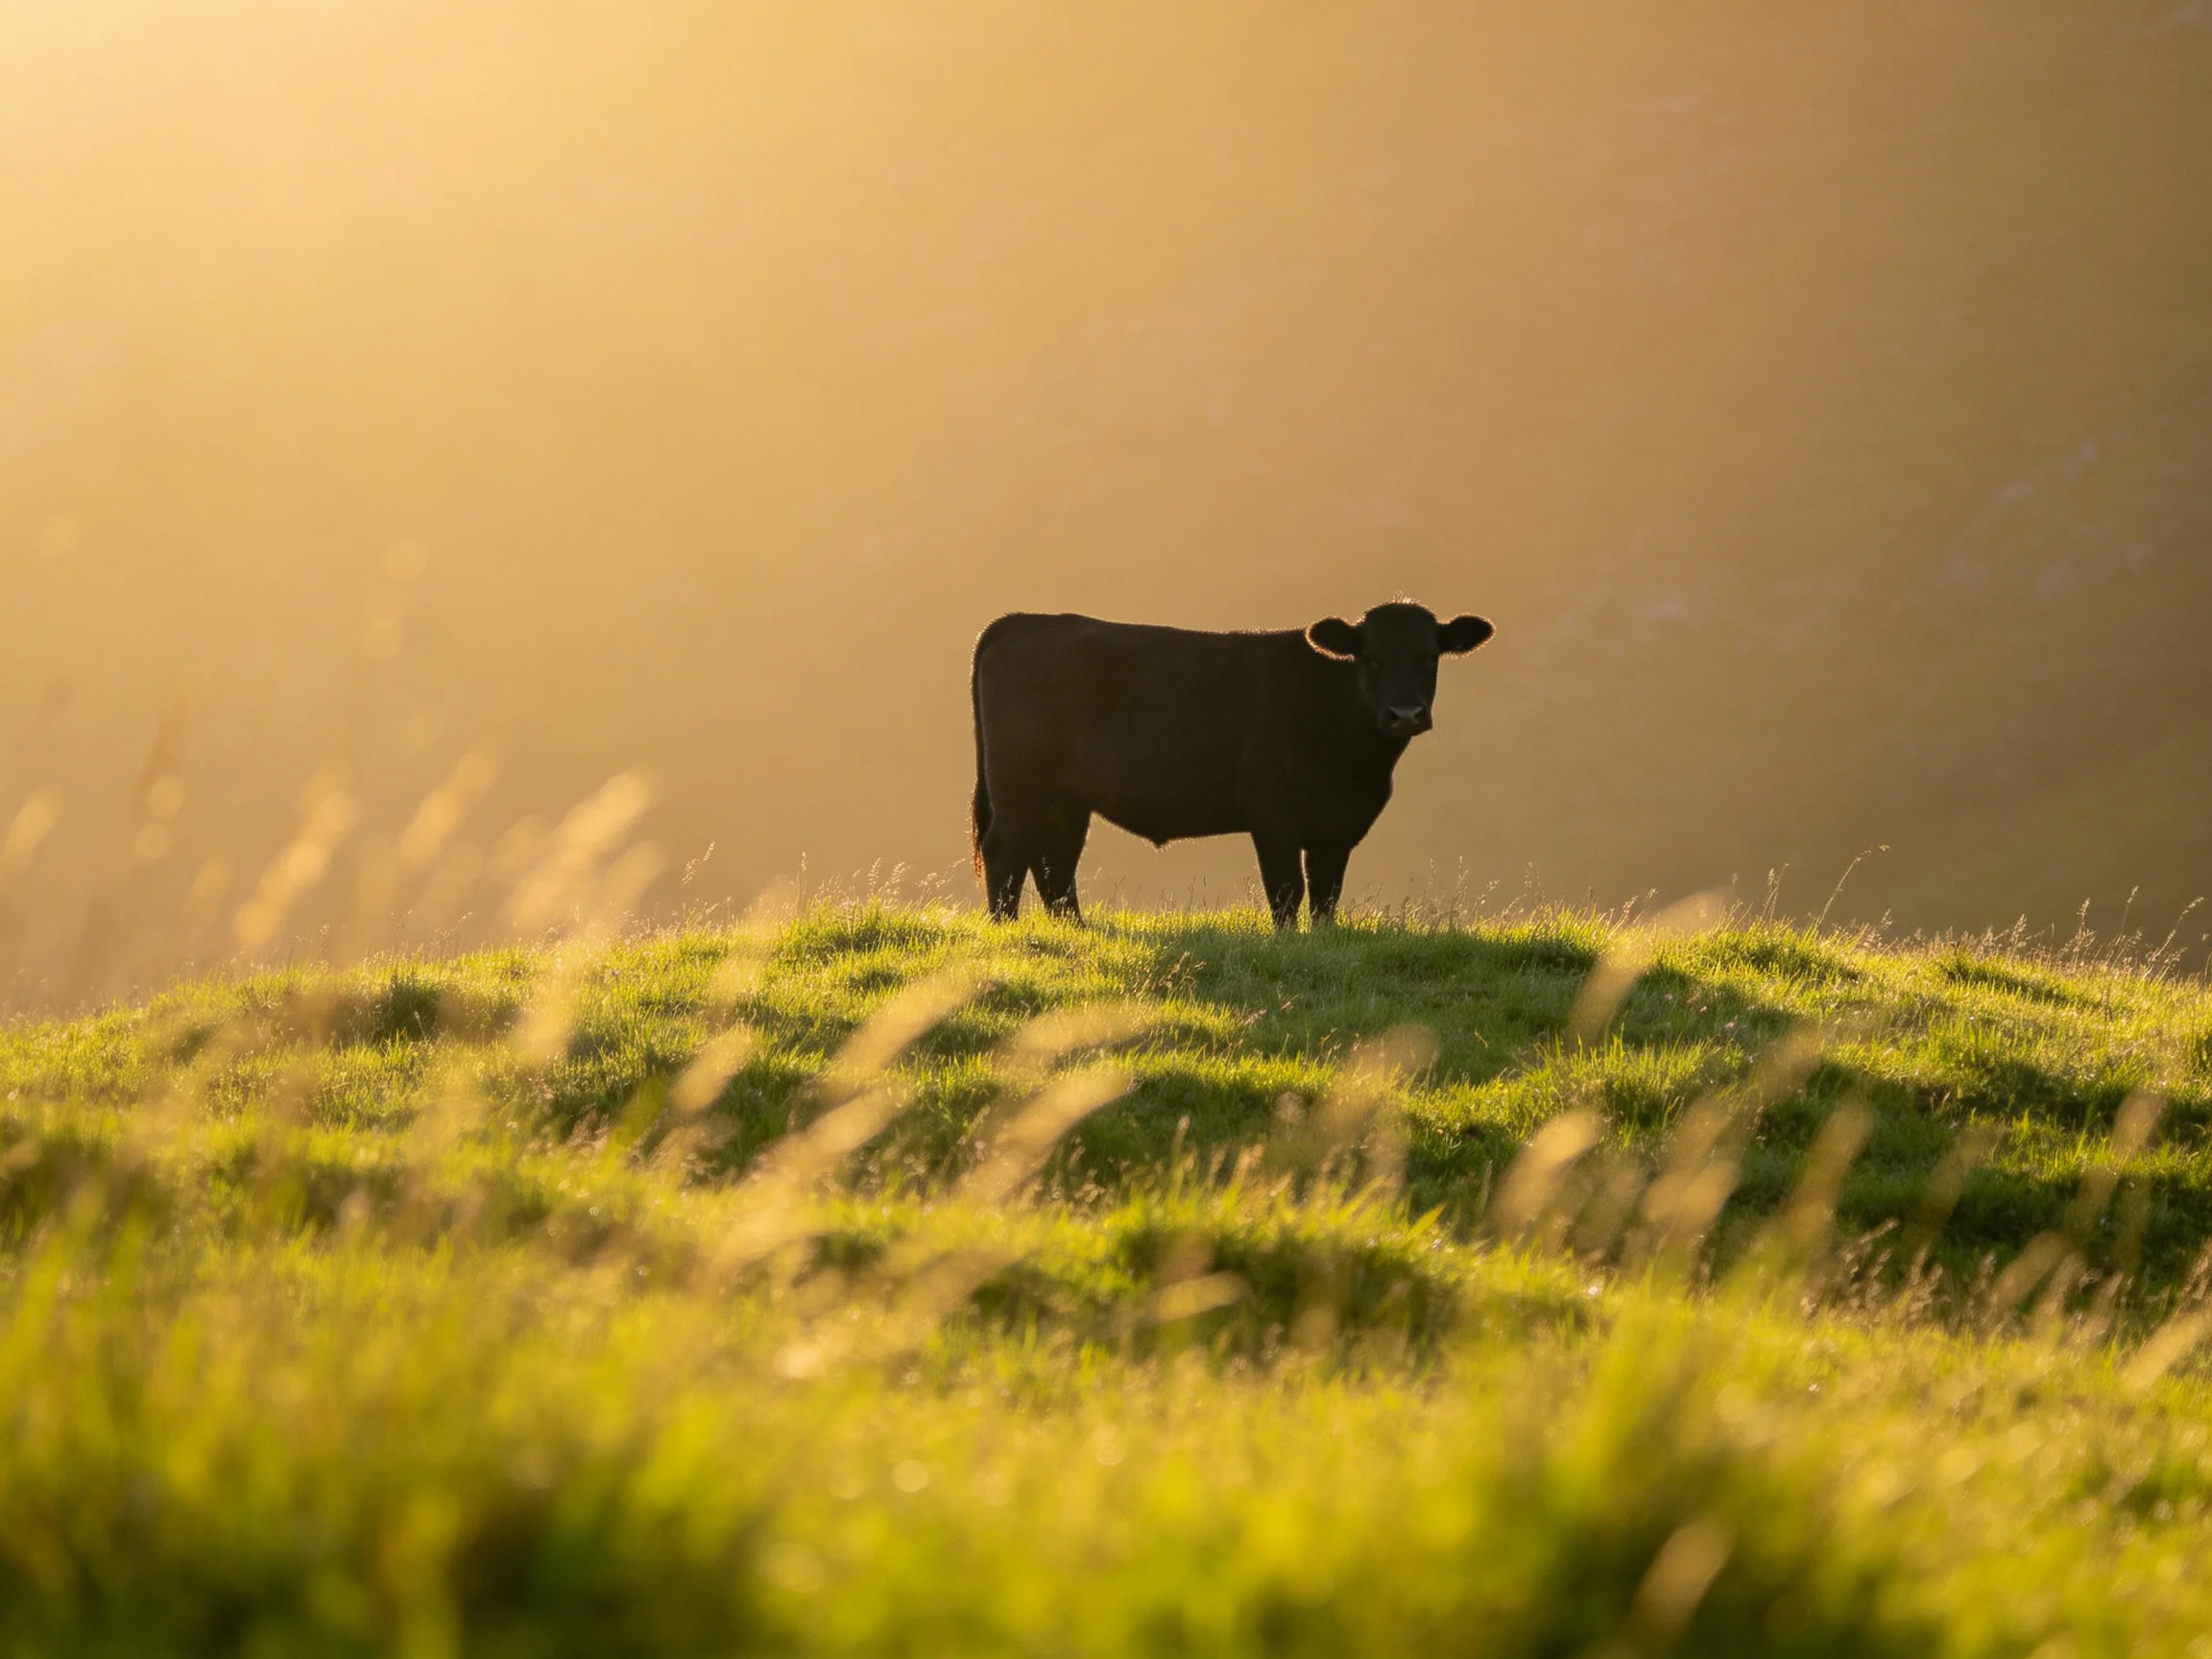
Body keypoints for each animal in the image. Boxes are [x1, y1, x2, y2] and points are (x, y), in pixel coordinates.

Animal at [969, 600, 1494, 928]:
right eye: (1369, 659)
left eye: (1429, 656)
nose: (1404, 714)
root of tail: (1026, 621)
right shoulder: (1274, 815)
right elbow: (1286, 891)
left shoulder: (1338, 826)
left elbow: (1326, 895)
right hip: (1020, 788)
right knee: (1006, 853)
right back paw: (1006, 930)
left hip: (1066, 799)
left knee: (1053, 863)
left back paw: (1076, 930)